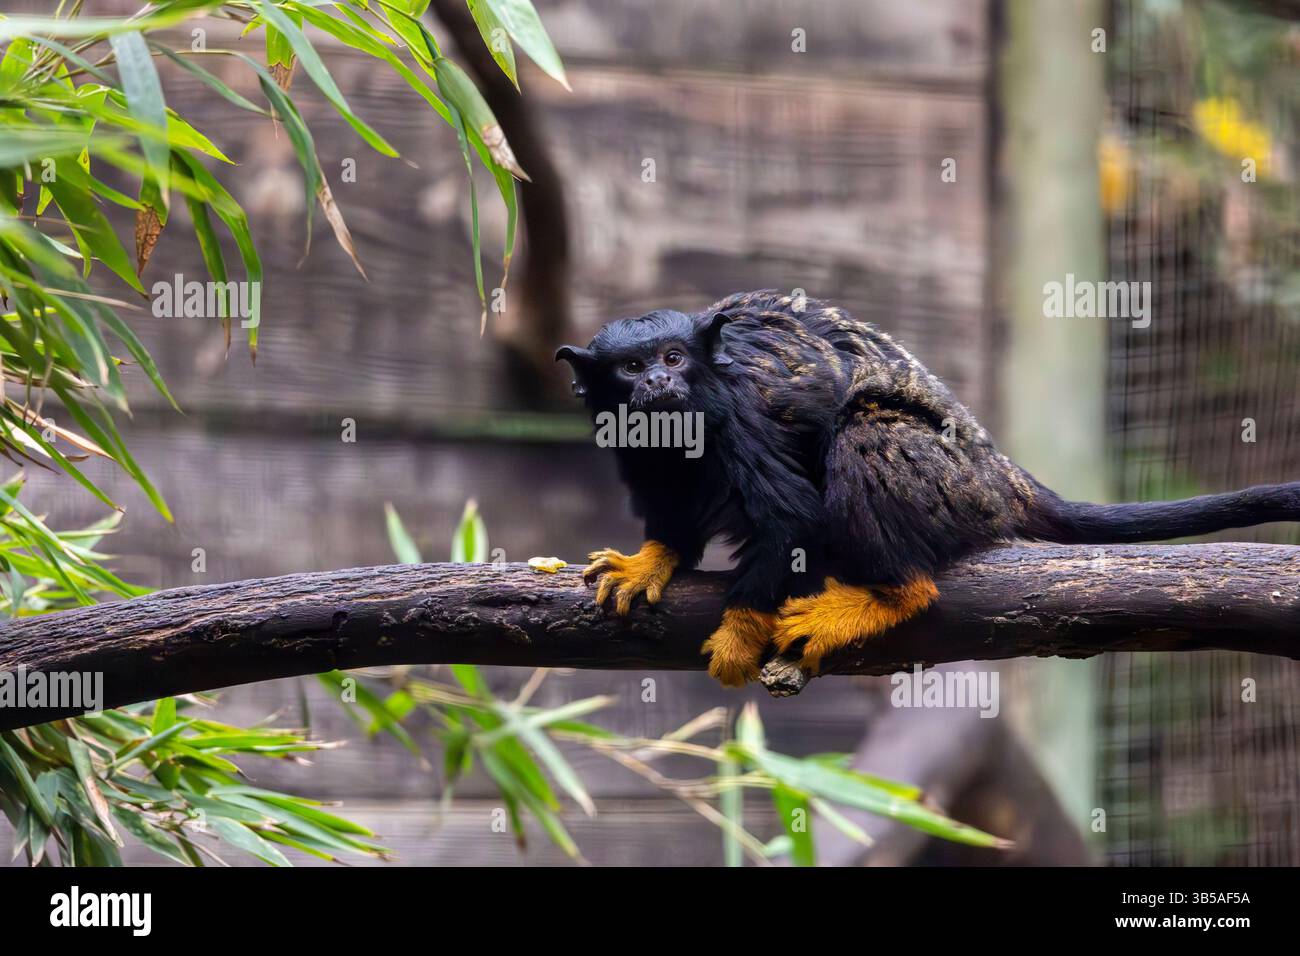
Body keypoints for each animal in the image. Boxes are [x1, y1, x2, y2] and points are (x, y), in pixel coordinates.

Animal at [557, 290, 1300, 688]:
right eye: (631, 369)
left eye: (674, 358)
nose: (660, 383)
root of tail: (997, 474)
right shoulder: (636, 446)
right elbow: (671, 517)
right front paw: (650, 562)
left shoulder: (740, 419)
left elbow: (790, 521)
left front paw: (740, 633)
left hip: (947, 479)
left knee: (864, 431)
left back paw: (886, 596)